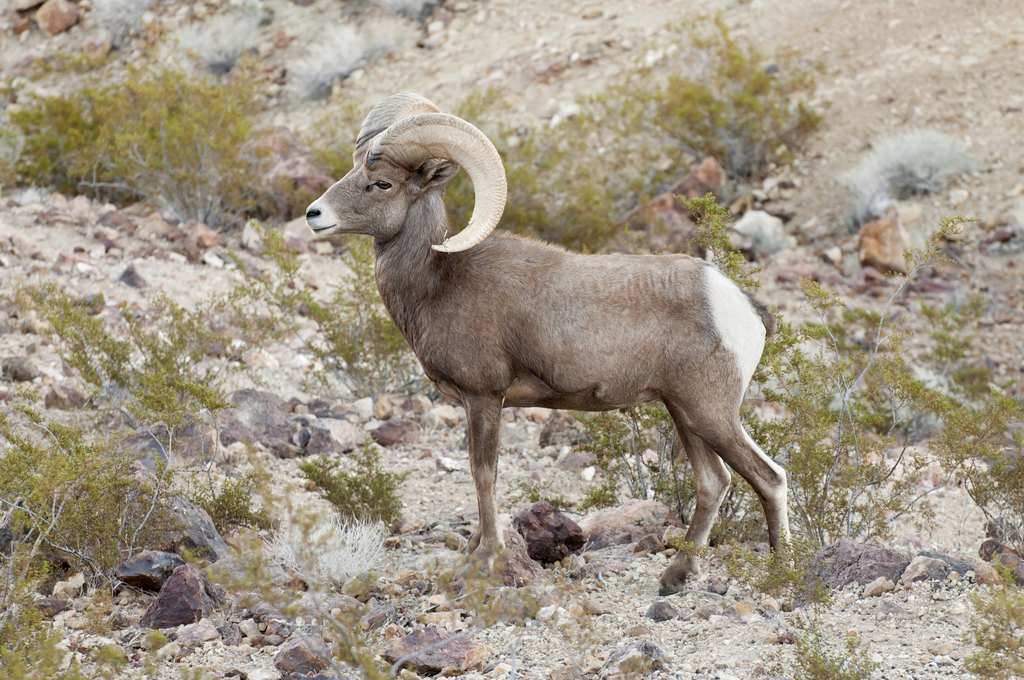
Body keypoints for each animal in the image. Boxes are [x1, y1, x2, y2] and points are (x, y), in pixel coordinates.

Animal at [305, 93, 789, 594]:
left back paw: (780, 573)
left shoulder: (484, 397)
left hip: (710, 412)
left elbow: (484, 474)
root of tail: (741, 305)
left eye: (381, 182)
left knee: (770, 478)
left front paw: (486, 559)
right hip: (684, 413)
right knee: (714, 482)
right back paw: (675, 577)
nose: (314, 214)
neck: (437, 280)